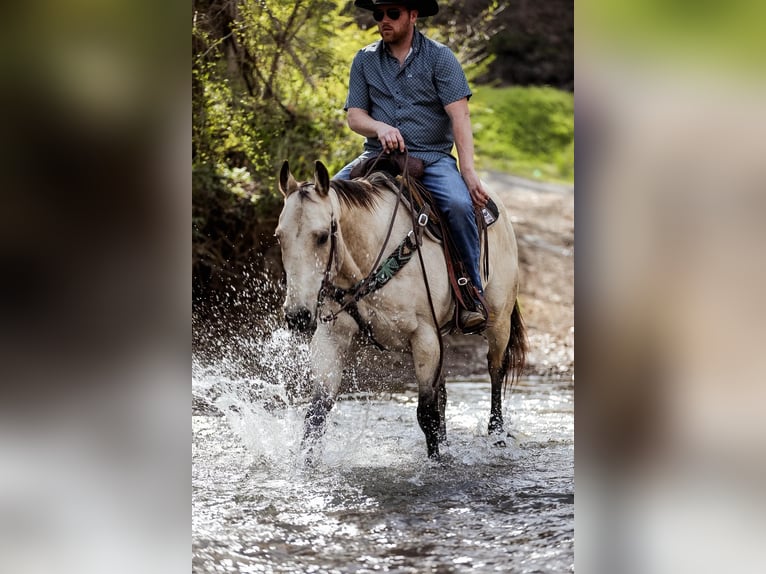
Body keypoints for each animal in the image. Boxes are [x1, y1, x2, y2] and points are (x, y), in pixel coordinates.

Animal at [278, 160, 528, 462]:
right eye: (279, 237)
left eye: (322, 236)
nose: (297, 316)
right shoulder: (332, 336)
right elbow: (317, 412)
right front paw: (306, 464)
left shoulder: (424, 336)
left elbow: (426, 413)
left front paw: (436, 463)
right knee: (444, 391)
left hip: (498, 322)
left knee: (495, 370)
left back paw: (497, 435)